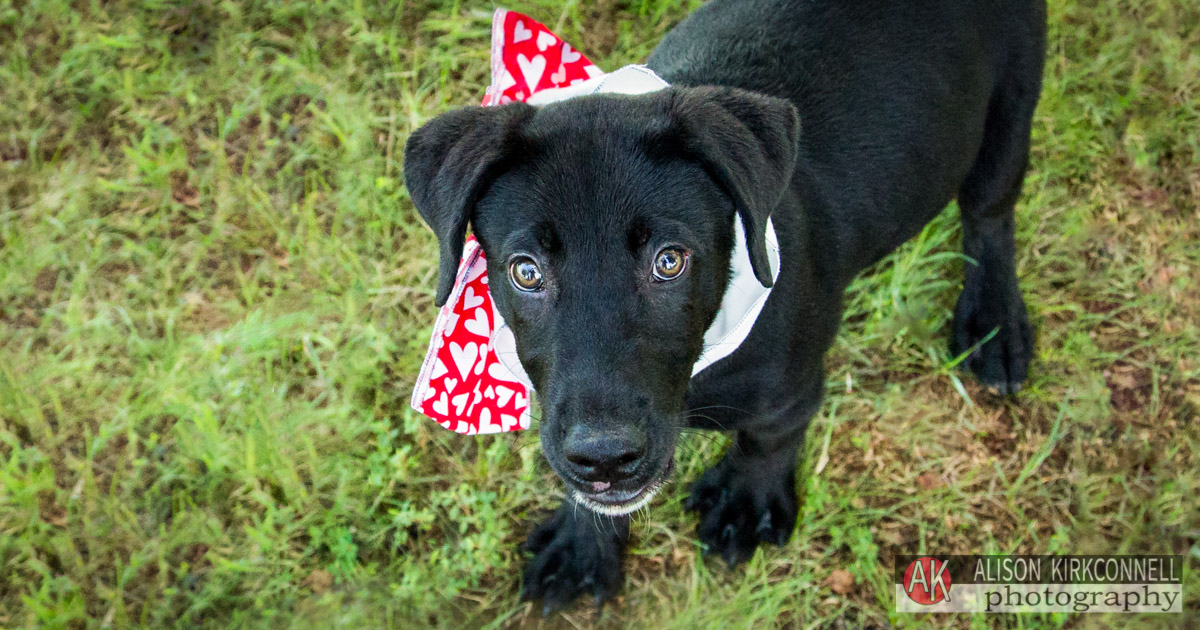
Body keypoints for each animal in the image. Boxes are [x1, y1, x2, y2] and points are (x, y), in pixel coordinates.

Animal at [400, 0, 1041, 612]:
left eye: (669, 261)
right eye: (525, 271)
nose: (605, 458)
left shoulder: (793, 386)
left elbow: (770, 435)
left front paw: (746, 503)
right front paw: (582, 546)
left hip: (1013, 100)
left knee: (989, 211)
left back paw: (995, 324)